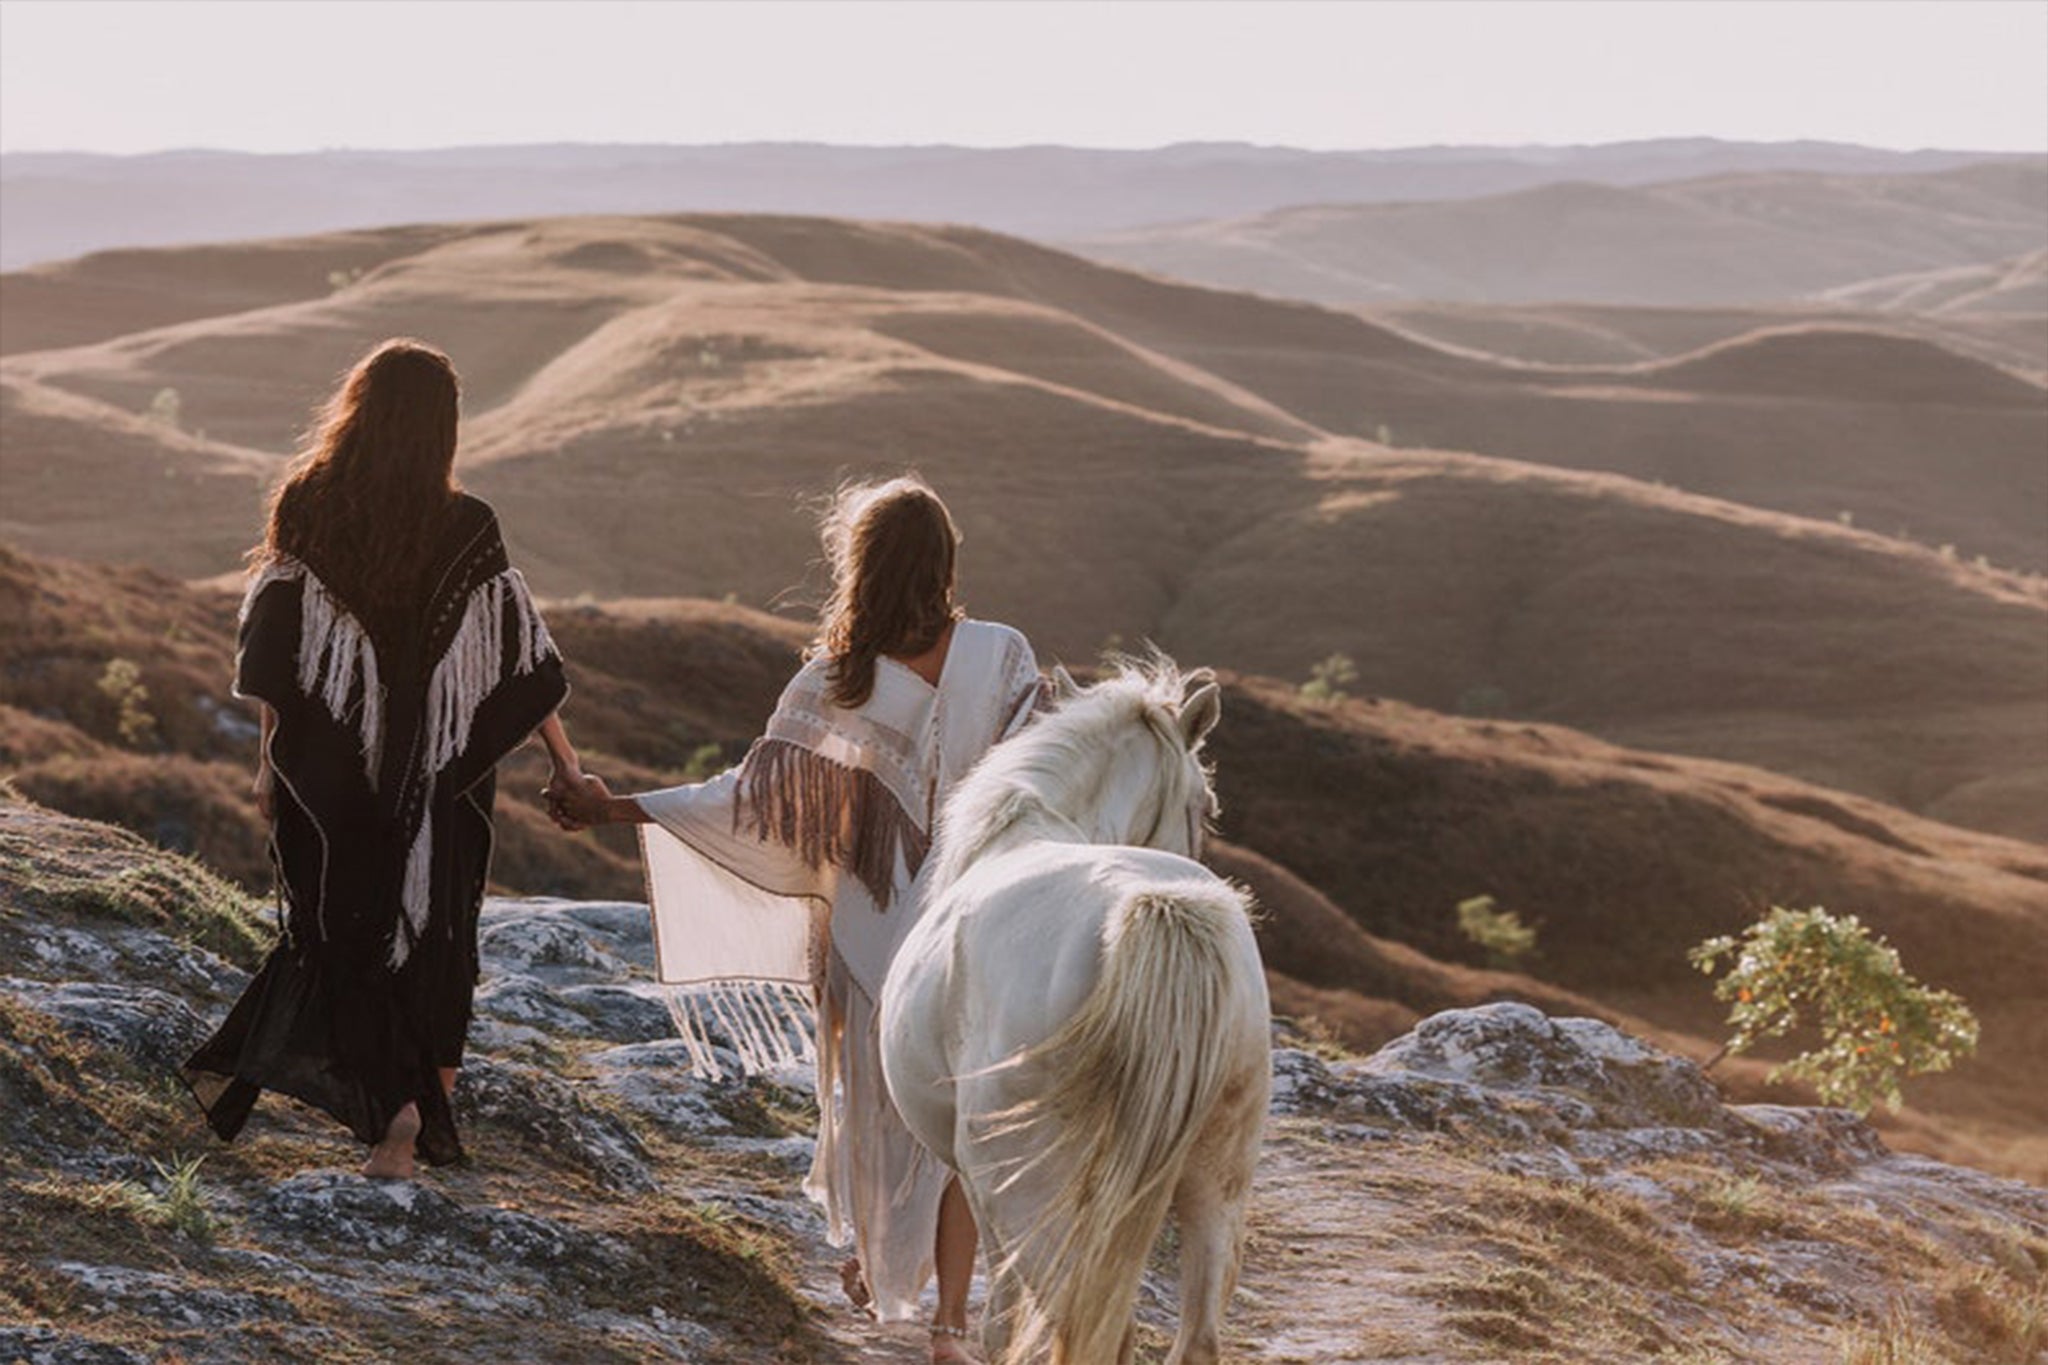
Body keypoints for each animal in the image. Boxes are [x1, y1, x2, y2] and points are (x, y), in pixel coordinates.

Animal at [884, 654, 1269, 1358]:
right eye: (1206, 805)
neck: (1031, 821)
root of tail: (1154, 909)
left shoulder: (981, 1182)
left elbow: (1004, 1312)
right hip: (1218, 1183)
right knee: (1191, 1338)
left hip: (1030, 1190)